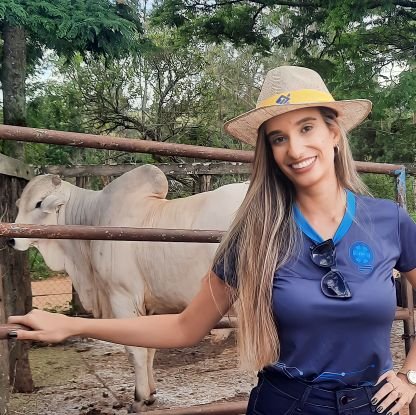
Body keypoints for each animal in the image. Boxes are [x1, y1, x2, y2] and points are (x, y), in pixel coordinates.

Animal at [10, 166, 247, 412]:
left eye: (38, 203)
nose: (12, 239)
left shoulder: (122, 297)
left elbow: (135, 350)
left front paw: (139, 398)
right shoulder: (149, 306)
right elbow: (149, 347)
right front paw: (150, 393)